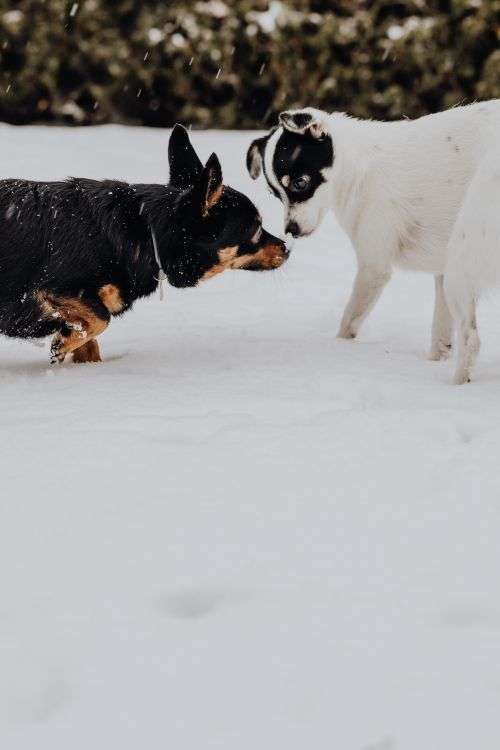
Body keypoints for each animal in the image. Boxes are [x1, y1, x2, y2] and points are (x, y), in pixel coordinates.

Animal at [0, 125, 290, 364]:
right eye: (255, 230)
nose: (287, 248)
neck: (146, 232)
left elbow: (91, 342)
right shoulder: (54, 289)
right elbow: (100, 319)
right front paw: (62, 342)